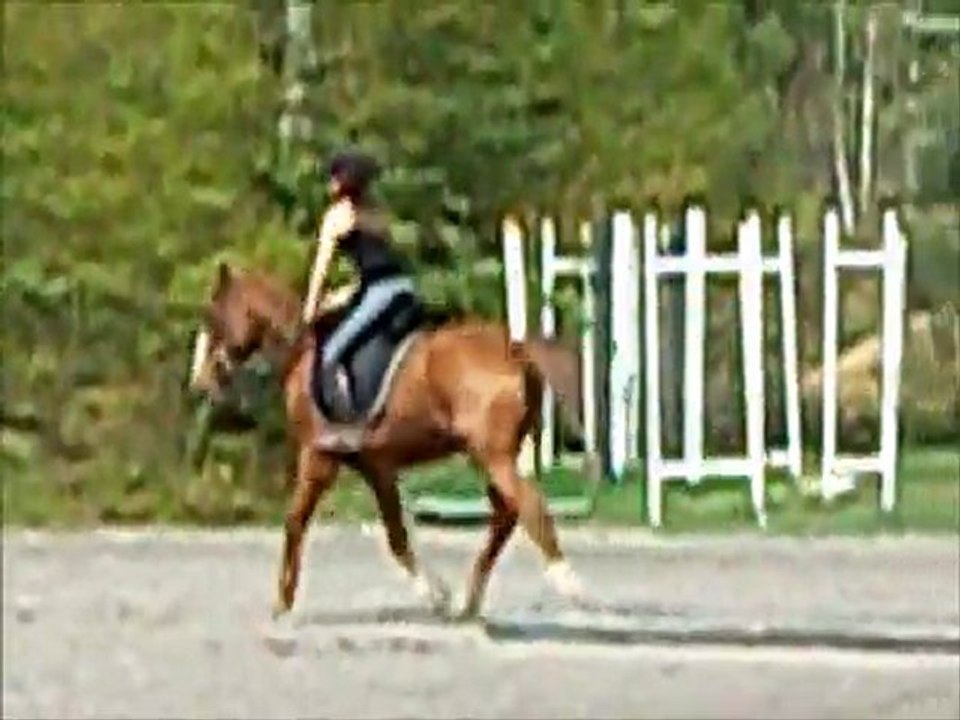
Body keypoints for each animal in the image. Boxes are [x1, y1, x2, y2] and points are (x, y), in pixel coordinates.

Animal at [189, 261, 598, 621]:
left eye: (213, 316)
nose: (203, 382)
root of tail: (514, 349)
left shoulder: (319, 456)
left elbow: (295, 522)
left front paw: (282, 603)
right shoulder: (377, 467)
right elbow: (397, 536)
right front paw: (437, 595)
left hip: (491, 454)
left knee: (528, 505)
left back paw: (570, 585)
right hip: (490, 454)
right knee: (507, 512)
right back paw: (470, 601)